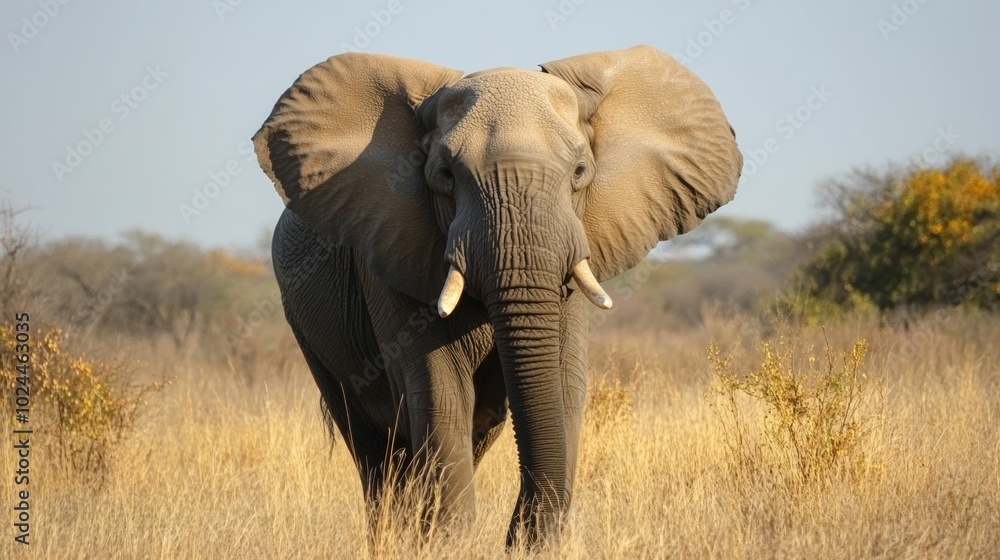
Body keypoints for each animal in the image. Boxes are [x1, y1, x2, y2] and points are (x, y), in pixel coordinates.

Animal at [253, 45, 742, 546]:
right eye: (445, 175)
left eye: (580, 172)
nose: (516, 539)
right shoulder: (390, 248)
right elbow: (441, 391)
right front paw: (450, 546)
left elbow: (563, 384)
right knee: (376, 449)